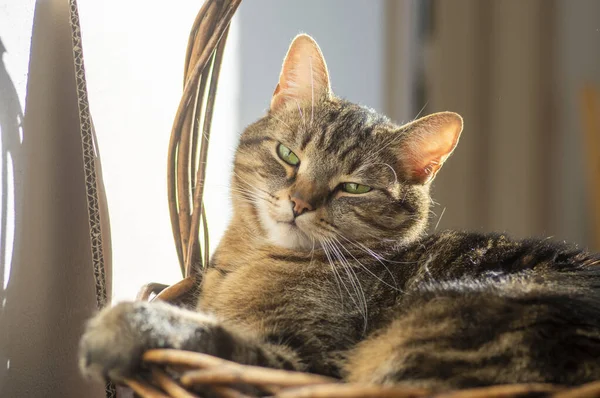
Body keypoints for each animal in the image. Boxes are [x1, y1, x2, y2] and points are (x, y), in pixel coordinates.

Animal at [79, 35, 600, 390]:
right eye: (289, 155)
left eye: (354, 187)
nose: (299, 203)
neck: (250, 264)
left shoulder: (305, 363)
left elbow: (211, 335)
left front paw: (122, 325)